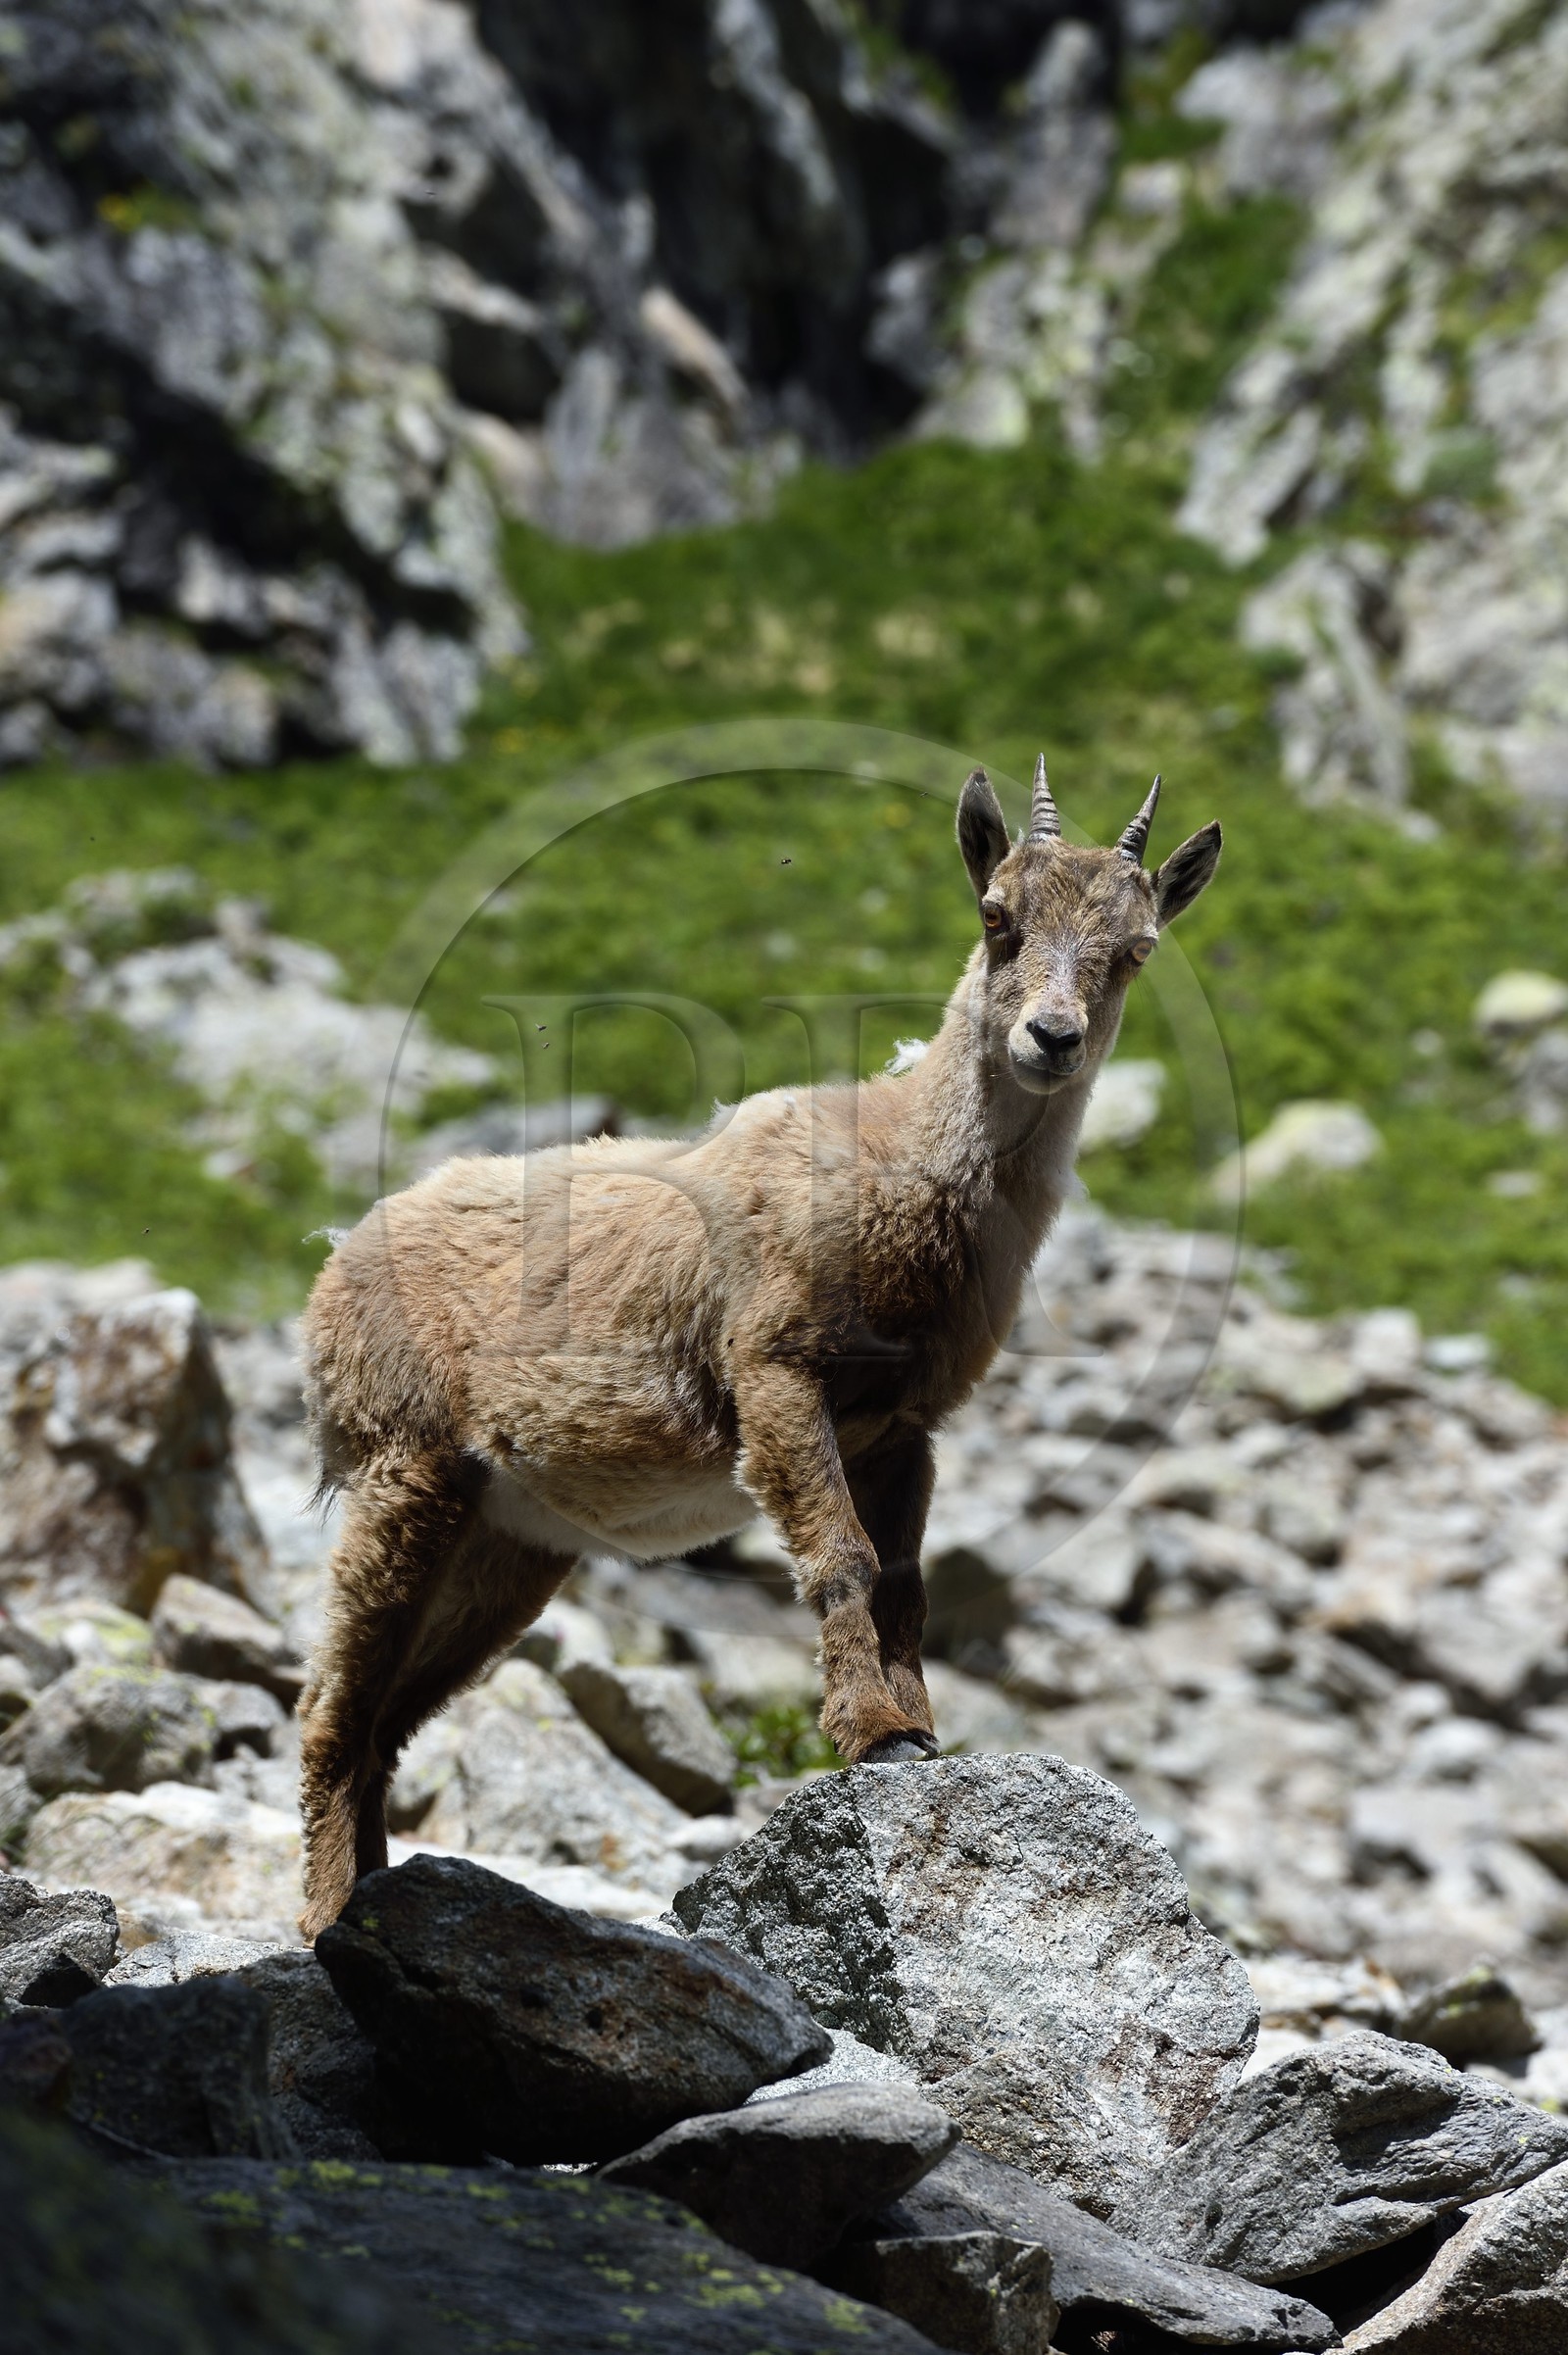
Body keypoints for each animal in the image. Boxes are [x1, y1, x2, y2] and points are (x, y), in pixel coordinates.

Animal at [296, 762, 1222, 1934]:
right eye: (995, 915)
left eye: (1137, 948)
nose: (1050, 1039)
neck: (904, 1170)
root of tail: (334, 1264)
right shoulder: (777, 1372)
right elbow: (841, 1556)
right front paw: (873, 1731)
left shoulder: (903, 1427)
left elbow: (906, 1582)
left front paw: (922, 1733)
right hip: (403, 1467)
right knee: (332, 1705)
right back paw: (329, 1920)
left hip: (508, 1538)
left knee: (386, 1720)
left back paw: (378, 1904)